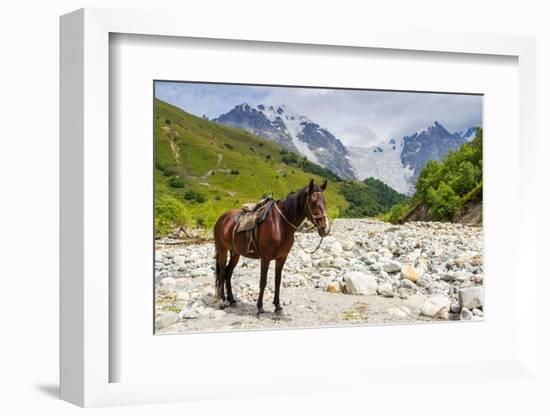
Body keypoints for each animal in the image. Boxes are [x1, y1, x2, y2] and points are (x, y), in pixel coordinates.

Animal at [213, 177, 330, 314]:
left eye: (325, 202)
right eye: (313, 202)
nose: (325, 228)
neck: (280, 224)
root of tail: (221, 219)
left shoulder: (281, 258)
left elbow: (277, 281)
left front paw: (277, 306)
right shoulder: (265, 258)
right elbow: (263, 282)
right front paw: (260, 307)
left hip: (235, 253)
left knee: (228, 273)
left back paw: (231, 300)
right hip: (222, 250)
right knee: (222, 273)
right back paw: (222, 301)